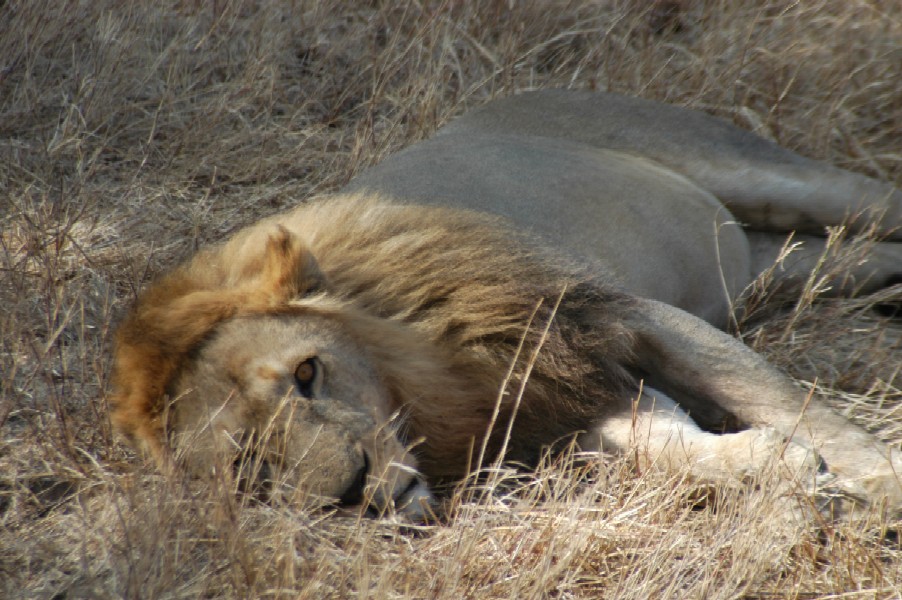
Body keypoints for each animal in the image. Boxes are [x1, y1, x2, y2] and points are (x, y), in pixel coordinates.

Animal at [113, 89, 902, 520]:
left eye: (308, 374)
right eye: (248, 464)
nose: (356, 489)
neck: (424, 380)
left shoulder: (614, 319)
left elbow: (793, 405)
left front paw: (879, 483)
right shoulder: (556, 394)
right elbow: (670, 445)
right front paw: (785, 471)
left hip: (765, 174)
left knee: (869, 201)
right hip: (778, 265)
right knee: (850, 256)